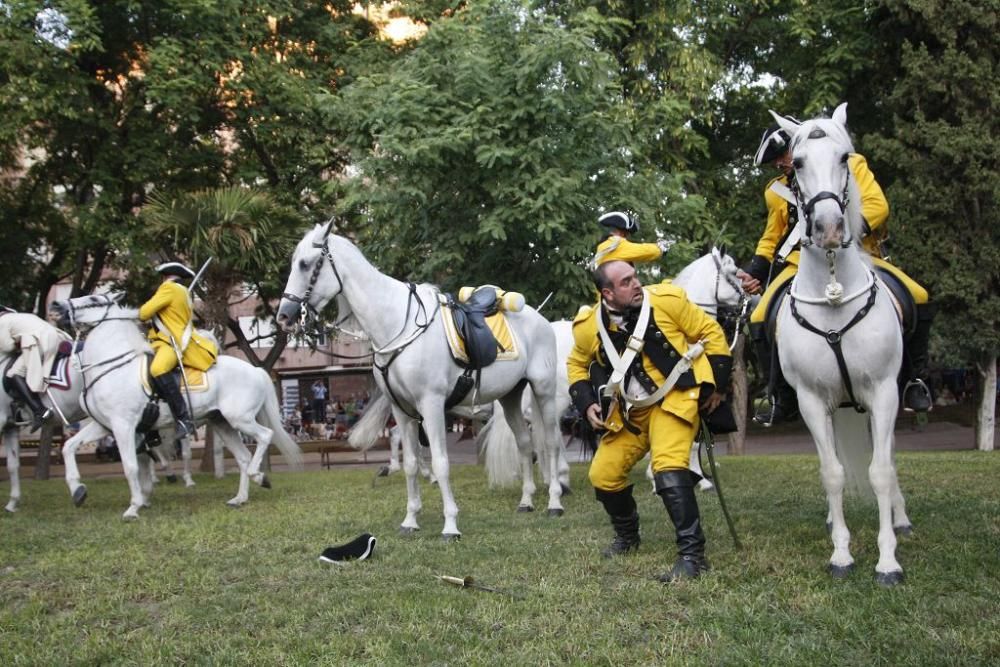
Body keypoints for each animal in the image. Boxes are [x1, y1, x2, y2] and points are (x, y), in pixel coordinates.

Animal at [50, 294, 300, 520]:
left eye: (93, 300)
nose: (56, 306)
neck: (113, 367)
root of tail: (256, 370)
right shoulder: (104, 426)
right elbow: (69, 447)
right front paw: (78, 490)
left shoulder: (124, 425)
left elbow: (130, 466)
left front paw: (134, 507)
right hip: (222, 423)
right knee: (243, 457)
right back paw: (240, 498)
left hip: (240, 419)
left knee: (265, 436)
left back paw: (259, 476)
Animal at [278, 222, 568, 540]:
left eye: (306, 264)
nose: (284, 315)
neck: (397, 324)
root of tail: (540, 320)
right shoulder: (402, 411)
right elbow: (411, 463)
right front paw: (410, 520)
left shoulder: (431, 405)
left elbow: (441, 463)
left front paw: (450, 524)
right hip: (510, 396)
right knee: (525, 444)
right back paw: (526, 500)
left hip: (543, 391)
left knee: (551, 442)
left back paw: (555, 501)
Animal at [772, 103, 916, 584]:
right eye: (797, 164)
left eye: (844, 157)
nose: (830, 228)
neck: (833, 292)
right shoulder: (813, 400)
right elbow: (832, 473)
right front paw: (841, 552)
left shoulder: (885, 392)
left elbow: (881, 471)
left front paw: (888, 560)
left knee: (888, 459)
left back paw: (900, 517)